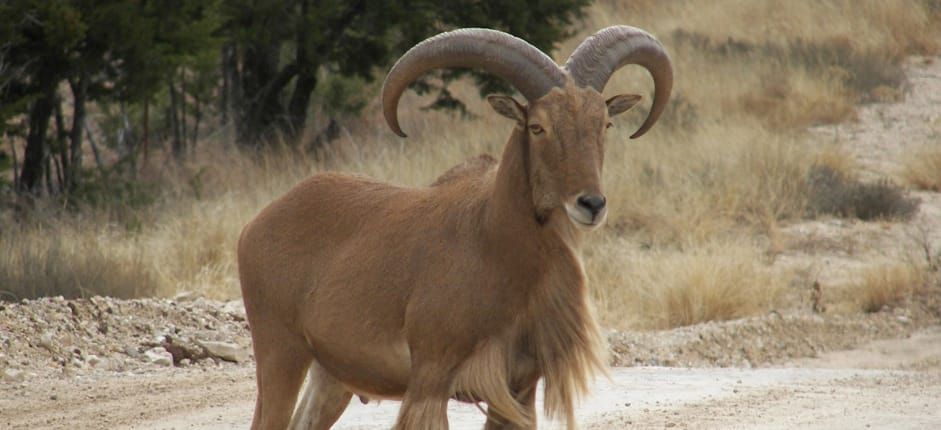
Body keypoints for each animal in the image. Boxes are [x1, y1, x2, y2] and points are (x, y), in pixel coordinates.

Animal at [238, 25, 672, 430]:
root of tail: (256, 224)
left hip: (330, 377)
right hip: (280, 352)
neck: (496, 247)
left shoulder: (519, 389)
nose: (591, 204)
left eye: (605, 124)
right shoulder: (431, 380)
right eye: (537, 126)